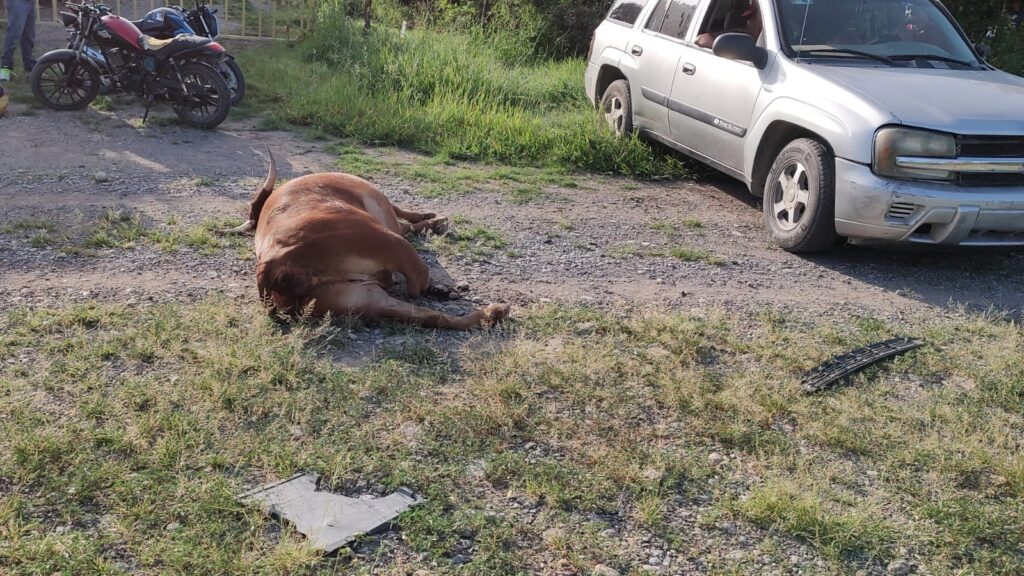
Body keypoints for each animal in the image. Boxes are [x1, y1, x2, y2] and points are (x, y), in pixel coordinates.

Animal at [227, 150, 507, 330]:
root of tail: (275, 263)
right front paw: (429, 221)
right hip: (390, 246)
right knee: (418, 282)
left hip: (364, 298)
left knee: (430, 316)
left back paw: (492, 313)